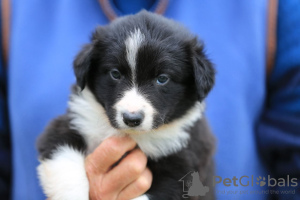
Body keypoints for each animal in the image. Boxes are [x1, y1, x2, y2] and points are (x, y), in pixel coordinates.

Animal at [37, 10, 216, 200]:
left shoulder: (182, 166)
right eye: (115, 74)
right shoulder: (69, 125)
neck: (131, 135)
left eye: (162, 78)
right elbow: (66, 165)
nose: (132, 119)